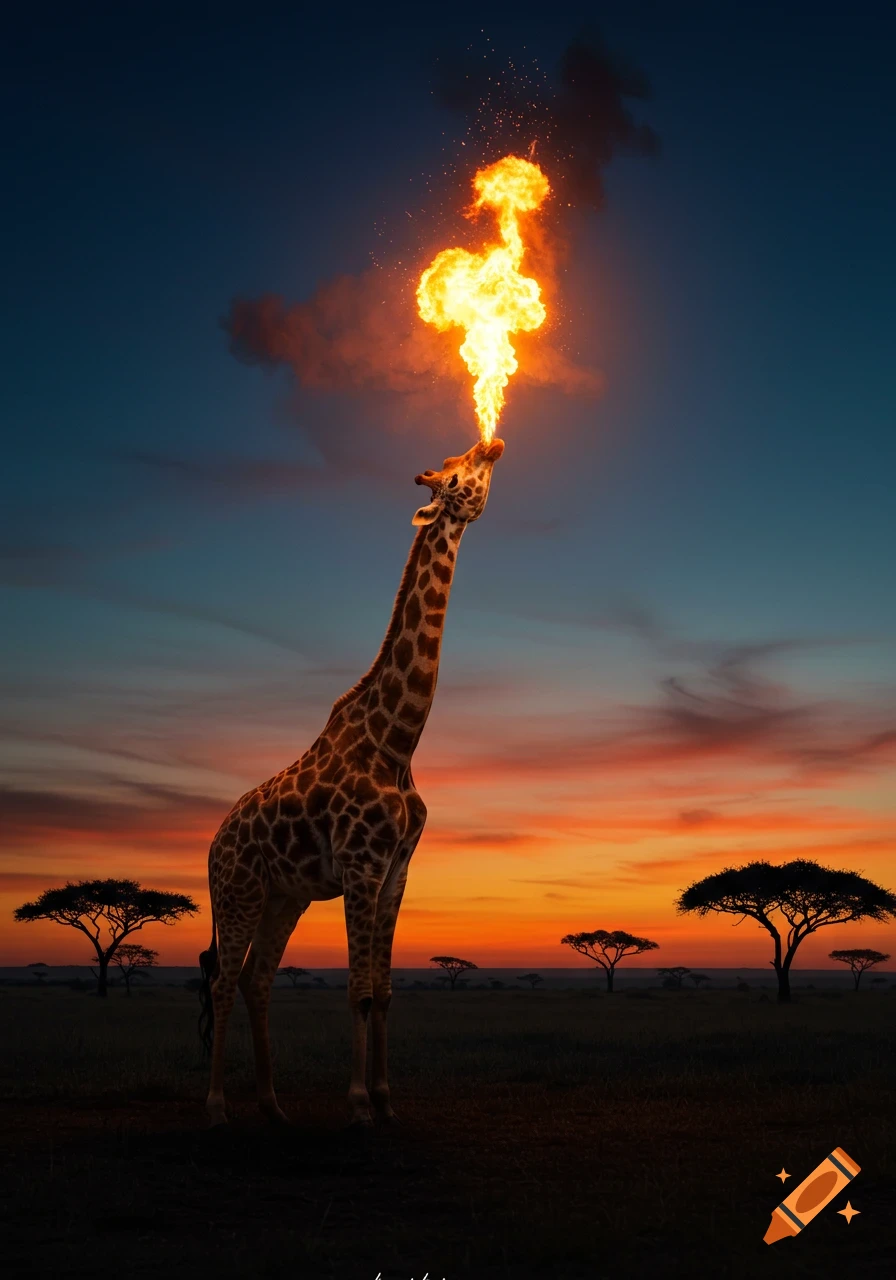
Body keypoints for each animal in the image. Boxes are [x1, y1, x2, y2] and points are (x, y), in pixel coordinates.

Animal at [199, 436, 505, 1127]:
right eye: (453, 476)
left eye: (461, 460)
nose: (491, 441)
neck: (397, 741)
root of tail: (211, 846)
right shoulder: (363, 865)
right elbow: (360, 990)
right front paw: (361, 1103)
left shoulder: (397, 871)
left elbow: (386, 991)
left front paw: (389, 1100)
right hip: (238, 893)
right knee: (224, 981)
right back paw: (218, 1106)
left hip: (282, 897)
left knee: (256, 980)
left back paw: (273, 1104)